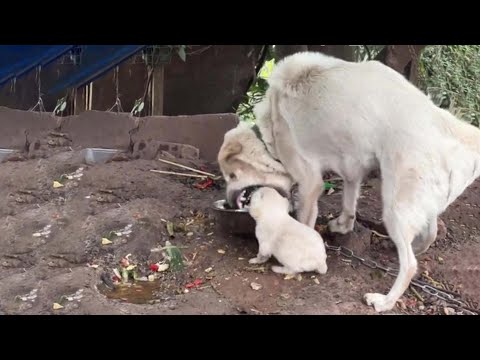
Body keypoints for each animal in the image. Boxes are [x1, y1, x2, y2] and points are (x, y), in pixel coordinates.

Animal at [218, 50, 480, 312]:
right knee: (430, 236)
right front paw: (343, 225)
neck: (271, 124)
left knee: (411, 265)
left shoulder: (310, 181)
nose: (229, 204)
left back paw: (384, 301)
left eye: (231, 176)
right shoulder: (351, 164)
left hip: (394, 208)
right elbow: (349, 199)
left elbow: (304, 221)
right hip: (421, 204)